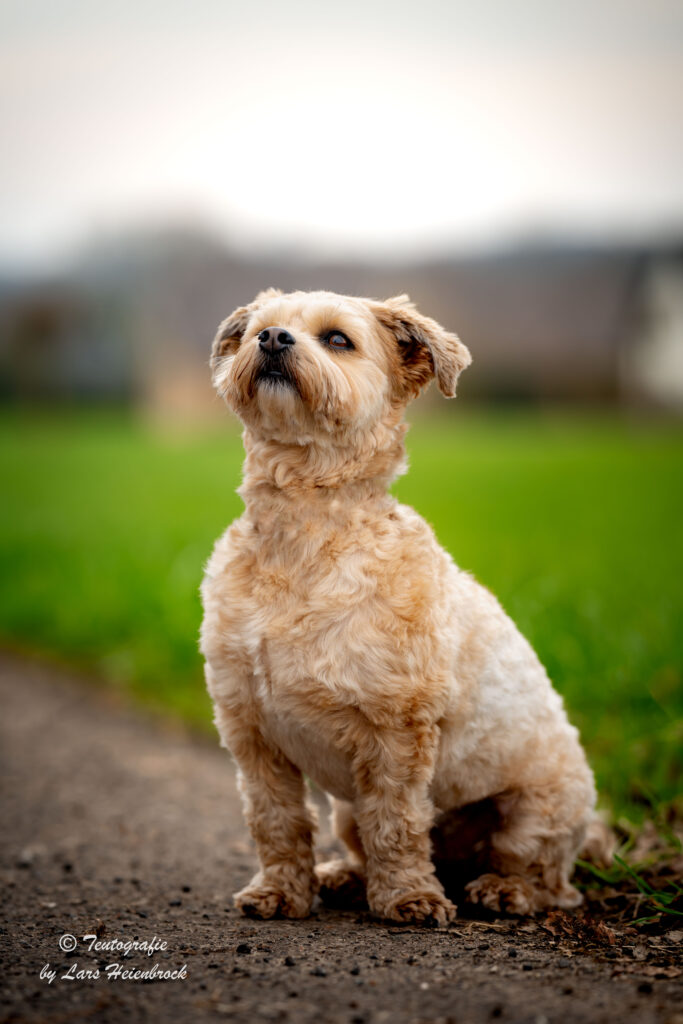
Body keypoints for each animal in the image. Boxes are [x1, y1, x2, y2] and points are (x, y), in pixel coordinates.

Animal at [200, 288, 602, 929]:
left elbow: (397, 823)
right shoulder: (251, 731)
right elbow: (277, 821)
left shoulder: (398, 732)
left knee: (546, 877)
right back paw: (341, 877)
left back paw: (503, 890)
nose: (273, 339)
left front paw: (410, 898)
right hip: (345, 809)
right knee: (357, 840)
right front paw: (281, 891)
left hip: (539, 809)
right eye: (264, 327)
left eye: (338, 339)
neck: (306, 533)